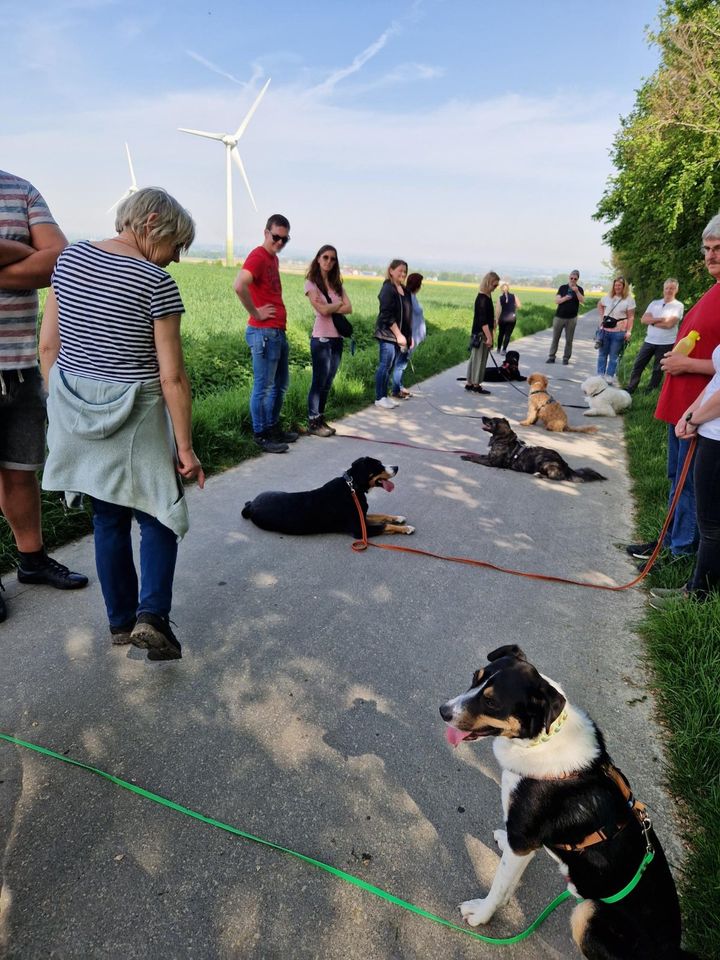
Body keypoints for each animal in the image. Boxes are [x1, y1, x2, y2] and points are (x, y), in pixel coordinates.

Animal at [240, 454, 414, 536]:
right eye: (378, 466)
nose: (397, 467)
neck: (352, 487)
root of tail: (251, 505)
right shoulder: (359, 529)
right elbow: (384, 526)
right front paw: (406, 528)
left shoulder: (362, 516)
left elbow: (381, 515)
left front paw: (398, 518)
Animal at [438, 644, 696, 960]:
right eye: (474, 678)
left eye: (491, 702)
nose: (443, 711)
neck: (540, 741)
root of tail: (673, 950)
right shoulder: (523, 842)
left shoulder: (522, 840)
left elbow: (498, 887)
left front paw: (481, 914)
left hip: (588, 912)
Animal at [462, 416, 608, 484]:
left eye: (491, 421)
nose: (482, 417)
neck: (503, 439)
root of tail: (565, 465)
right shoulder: (489, 457)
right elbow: (479, 455)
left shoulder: (492, 462)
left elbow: (476, 458)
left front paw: (466, 457)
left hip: (545, 462)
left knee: (557, 477)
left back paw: (539, 475)